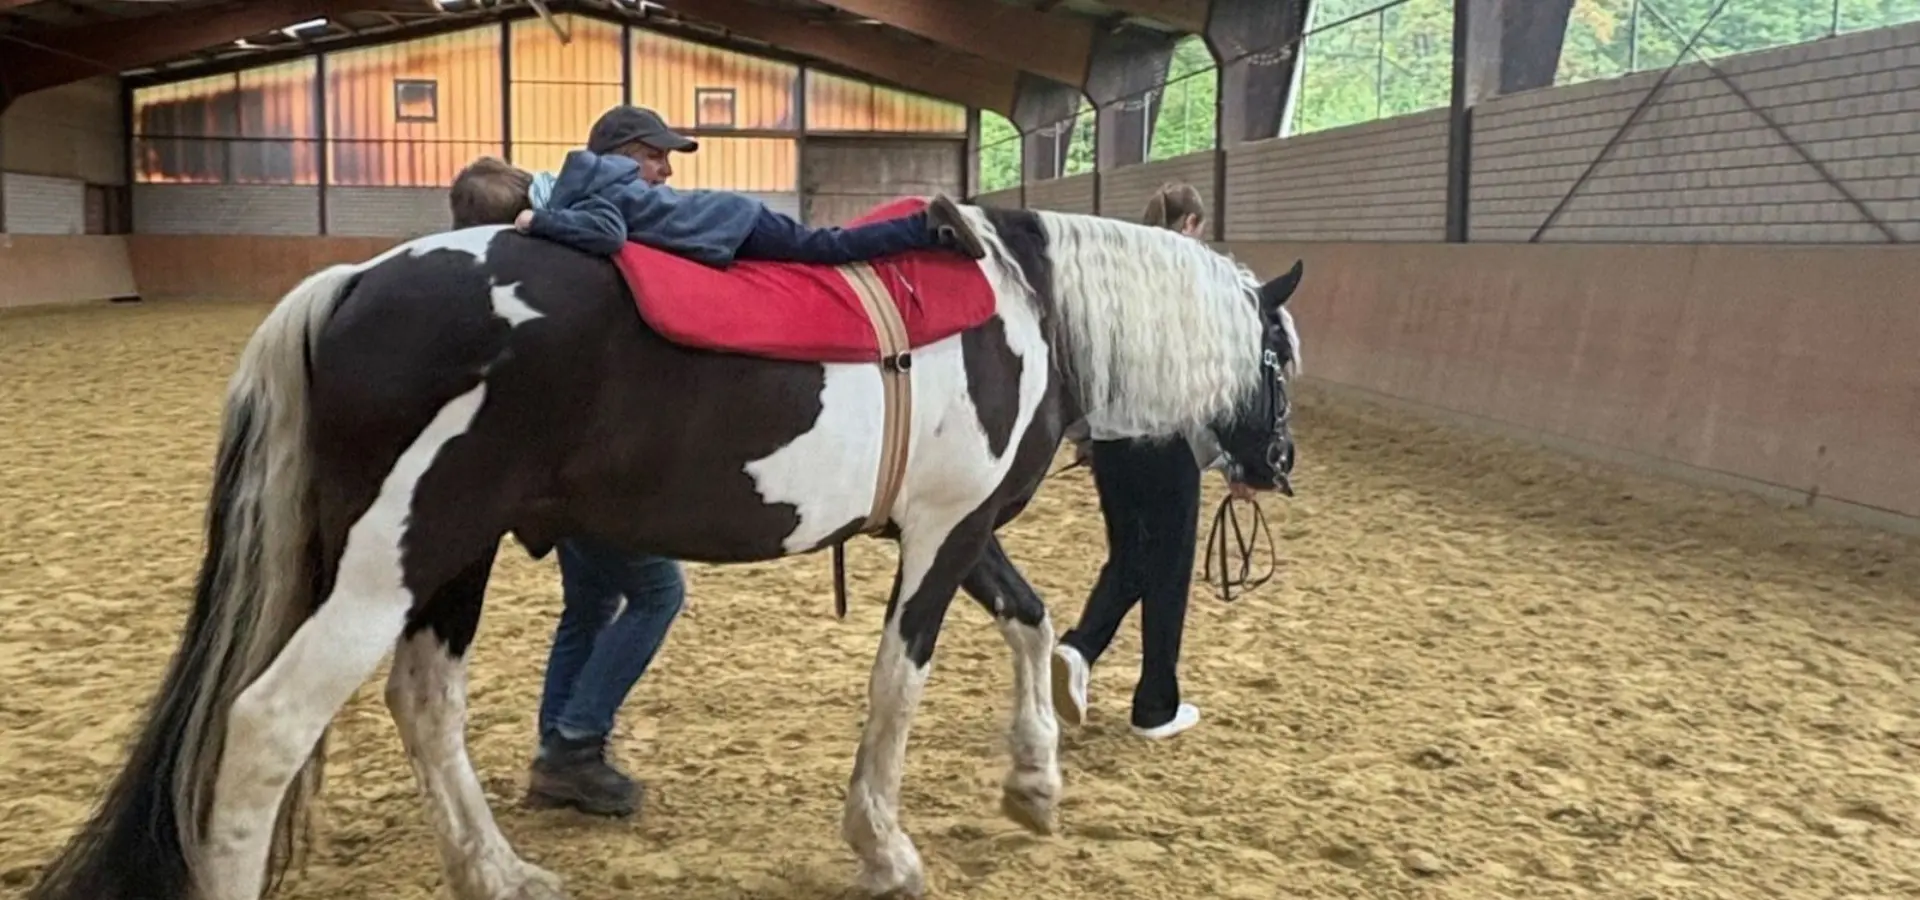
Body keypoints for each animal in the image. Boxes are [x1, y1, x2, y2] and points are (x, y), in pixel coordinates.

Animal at [26, 203, 1304, 900]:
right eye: (1278, 351)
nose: (1280, 463)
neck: (1021, 310)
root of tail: (352, 283)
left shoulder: (958, 528)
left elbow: (1033, 622)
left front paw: (1035, 785)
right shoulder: (941, 537)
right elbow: (898, 685)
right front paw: (886, 846)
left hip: (449, 559)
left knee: (424, 701)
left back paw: (500, 870)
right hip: (397, 559)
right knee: (270, 723)